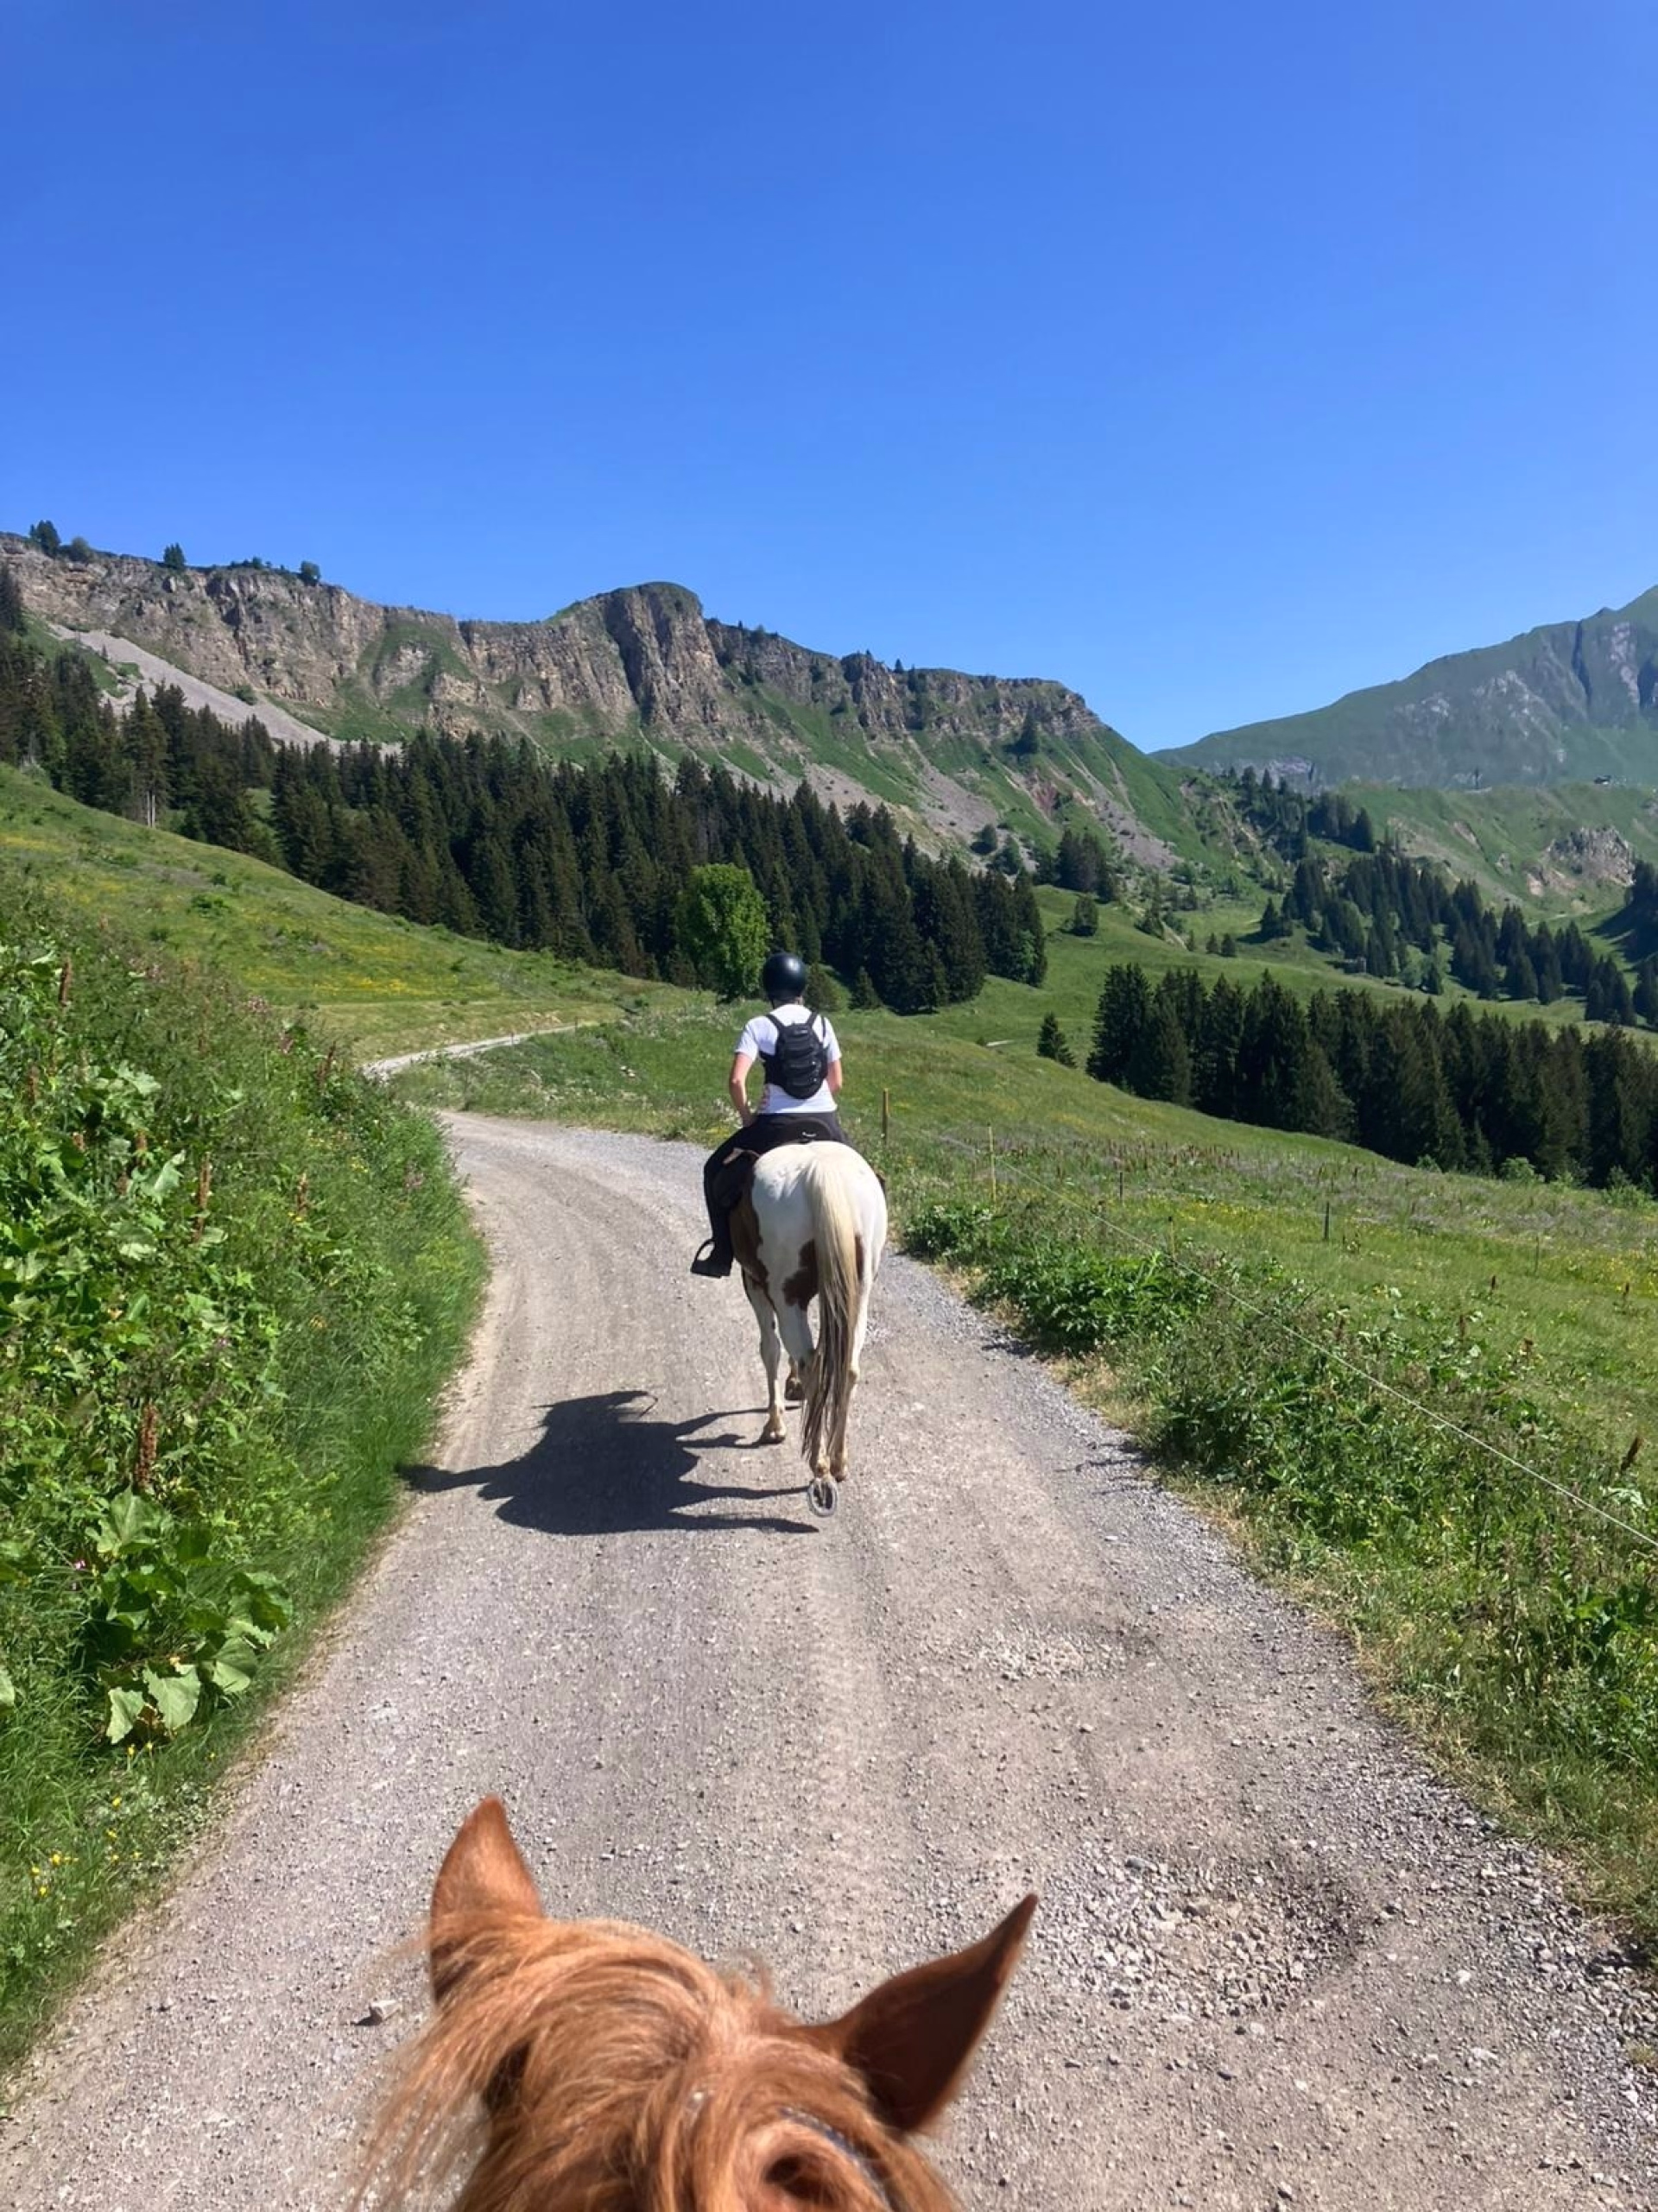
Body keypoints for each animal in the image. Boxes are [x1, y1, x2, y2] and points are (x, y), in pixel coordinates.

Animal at [729, 1143, 888, 1511]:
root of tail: (822, 1171)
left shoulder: (754, 1284)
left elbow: (770, 1349)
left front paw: (775, 1424)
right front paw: (793, 1386)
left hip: (785, 1295)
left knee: (811, 1362)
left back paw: (819, 1464)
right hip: (858, 1293)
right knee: (847, 1368)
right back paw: (838, 1461)